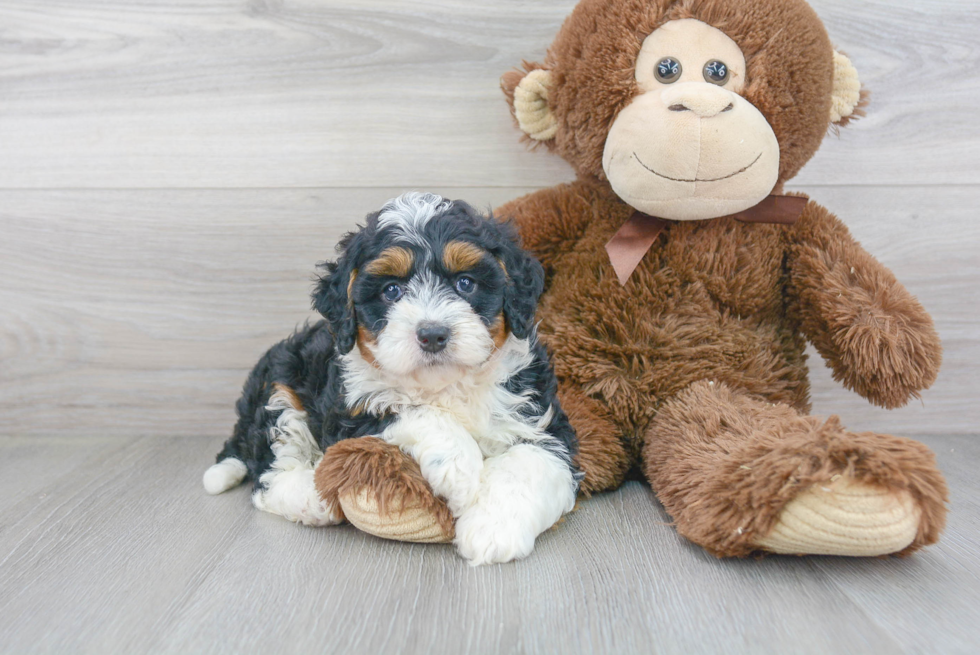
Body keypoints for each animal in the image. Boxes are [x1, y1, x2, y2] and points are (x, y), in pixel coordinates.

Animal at [202, 191, 580, 564]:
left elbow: (531, 461)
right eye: (391, 291)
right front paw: (460, 470)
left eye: (466, 283)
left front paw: (494, 529)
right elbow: (413, 410)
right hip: (278, 387)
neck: (445, 385)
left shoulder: (539, 416)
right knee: (268, 473)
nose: (433, 334)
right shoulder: (351, 411)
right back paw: (312, 496)